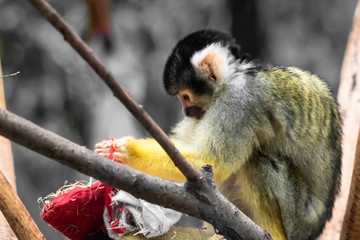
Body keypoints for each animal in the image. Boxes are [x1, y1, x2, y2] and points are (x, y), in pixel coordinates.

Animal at [95, 29, 340, 240]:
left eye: (185, 96)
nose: (186, 112)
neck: (235, 78)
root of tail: (315, 230)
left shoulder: (239, 101)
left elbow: (213, 159)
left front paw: (130, 151)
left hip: (300, 216)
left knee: (259, 160)